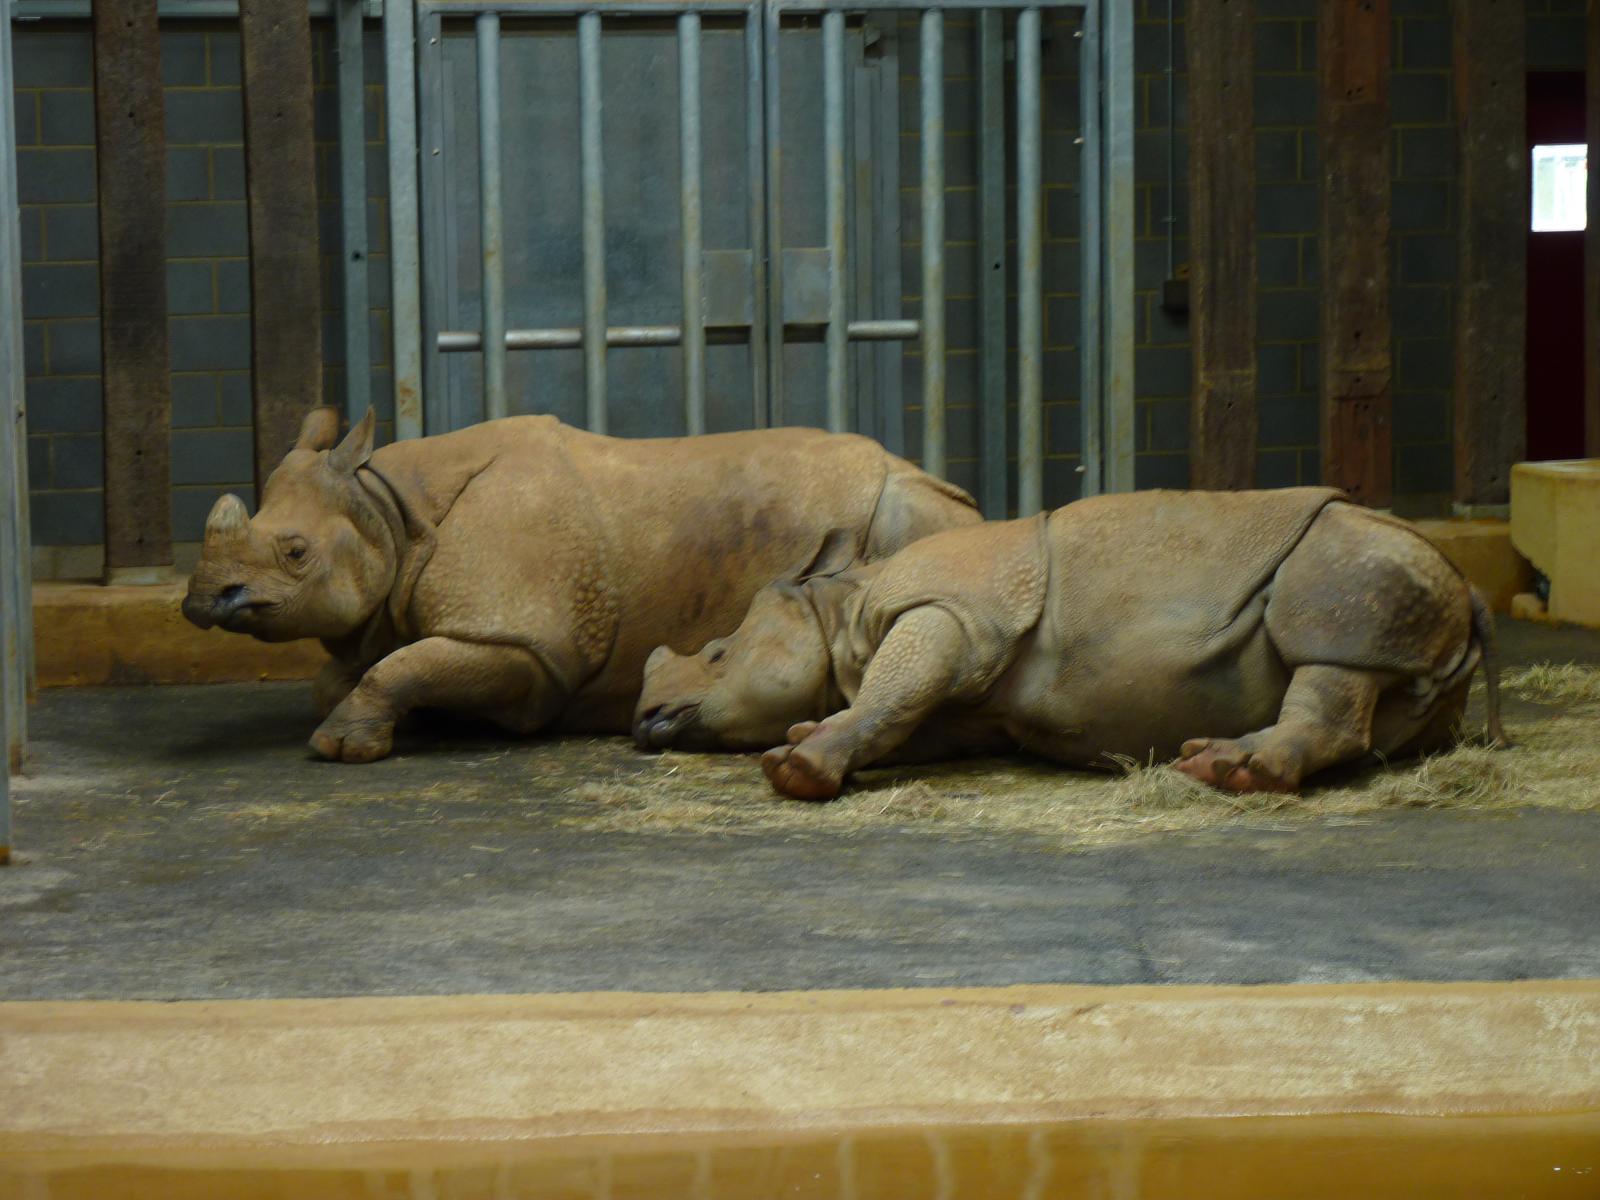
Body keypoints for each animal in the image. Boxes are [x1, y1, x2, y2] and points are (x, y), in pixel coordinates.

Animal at [182, 408, 979, 761]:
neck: (384, 509)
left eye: (295, 552)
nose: (199, 601)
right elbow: (351, 673)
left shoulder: (529, 644)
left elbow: (404, 666)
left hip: (905, 512)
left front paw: (343, 748)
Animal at [634, 487, 1506, 798]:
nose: (643, 719)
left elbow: (894, 689)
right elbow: (903, 713)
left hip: (1352, 560)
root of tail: (1467, 584)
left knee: (1329, 638)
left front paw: (796, 766)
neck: (837, 611)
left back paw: (1227, 771)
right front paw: (814, 732)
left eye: (716, 655)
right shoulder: (969, 705)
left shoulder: (951, 611)